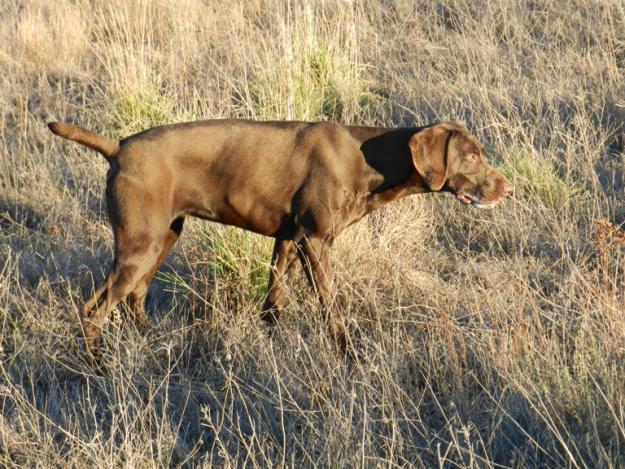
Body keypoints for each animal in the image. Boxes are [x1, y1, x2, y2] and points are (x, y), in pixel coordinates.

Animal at [47, 119, 508, 354]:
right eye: (471, 156)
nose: (508, 188)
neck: (370, 157)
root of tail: (119, 147)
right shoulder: (315, 242)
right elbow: (330, 308)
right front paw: (349, 356)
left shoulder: (289, 238)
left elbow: (274, 301)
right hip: (140, 245)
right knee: (94, 310)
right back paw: (99, 369)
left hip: (162, 239)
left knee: (135, 298)